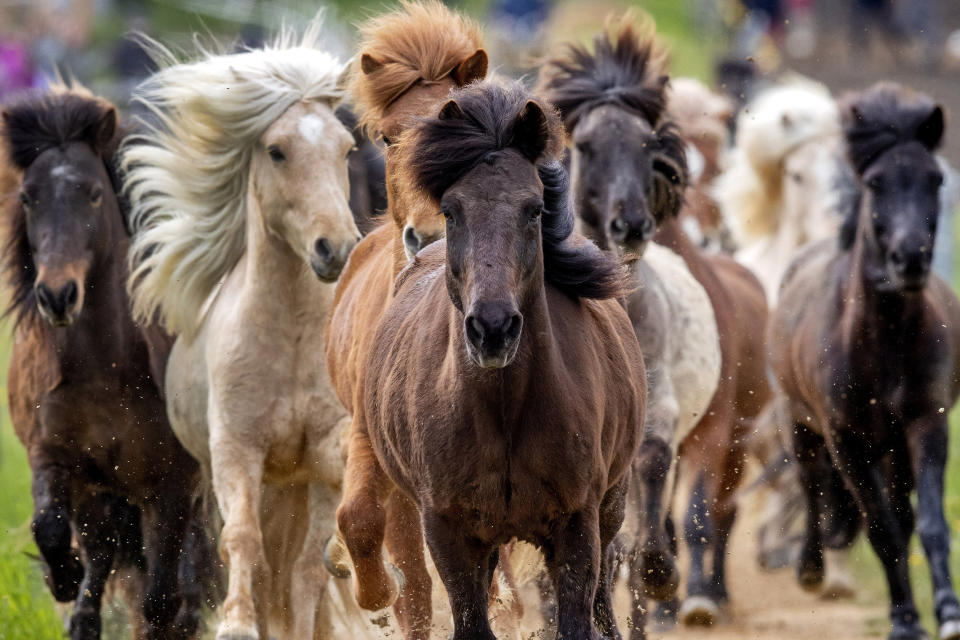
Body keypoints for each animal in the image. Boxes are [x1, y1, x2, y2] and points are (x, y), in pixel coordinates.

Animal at [3, 85, 208, 640]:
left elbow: (161, 599)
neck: (102, 373)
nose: (57, 295)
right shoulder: (54, 455)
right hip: (102, 491)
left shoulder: (173, 483)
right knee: (102, 554)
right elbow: (51, 528)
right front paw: (63, 579)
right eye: (28, 197)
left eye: (94, 193)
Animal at [124, 22, 372, 636]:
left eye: (347, 148)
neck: (292, 340)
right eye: (277, 151)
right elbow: (242, 541)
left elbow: (308, 567)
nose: (336, 249)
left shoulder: (321, 459)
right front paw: (237, 624)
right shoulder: (236, 449)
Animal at [338, 79, 644, 640]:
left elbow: (579, 612)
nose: (493, 329)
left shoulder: (578, 523)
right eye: (452, 210)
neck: (504, 409)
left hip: (611, 503)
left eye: (534, 209)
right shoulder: (449, 530)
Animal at [540, 17, 772, 628]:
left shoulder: (663, 409)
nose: (631, 225)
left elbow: (653, 467)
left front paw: (660, 573)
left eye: (647, 146)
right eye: (586, 146)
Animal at [768, 80, 960, 640]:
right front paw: (906, 622)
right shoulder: (845, 441)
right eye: (875, 183)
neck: (882, 345)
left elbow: (929, 525)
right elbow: (880, 530)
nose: (911, 259)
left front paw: (946, 612)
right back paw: (811, 570)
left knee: (901, 512)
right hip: (802, 427)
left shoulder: (927, 423)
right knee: (812, 489)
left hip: (892, 448)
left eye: (935, 177)